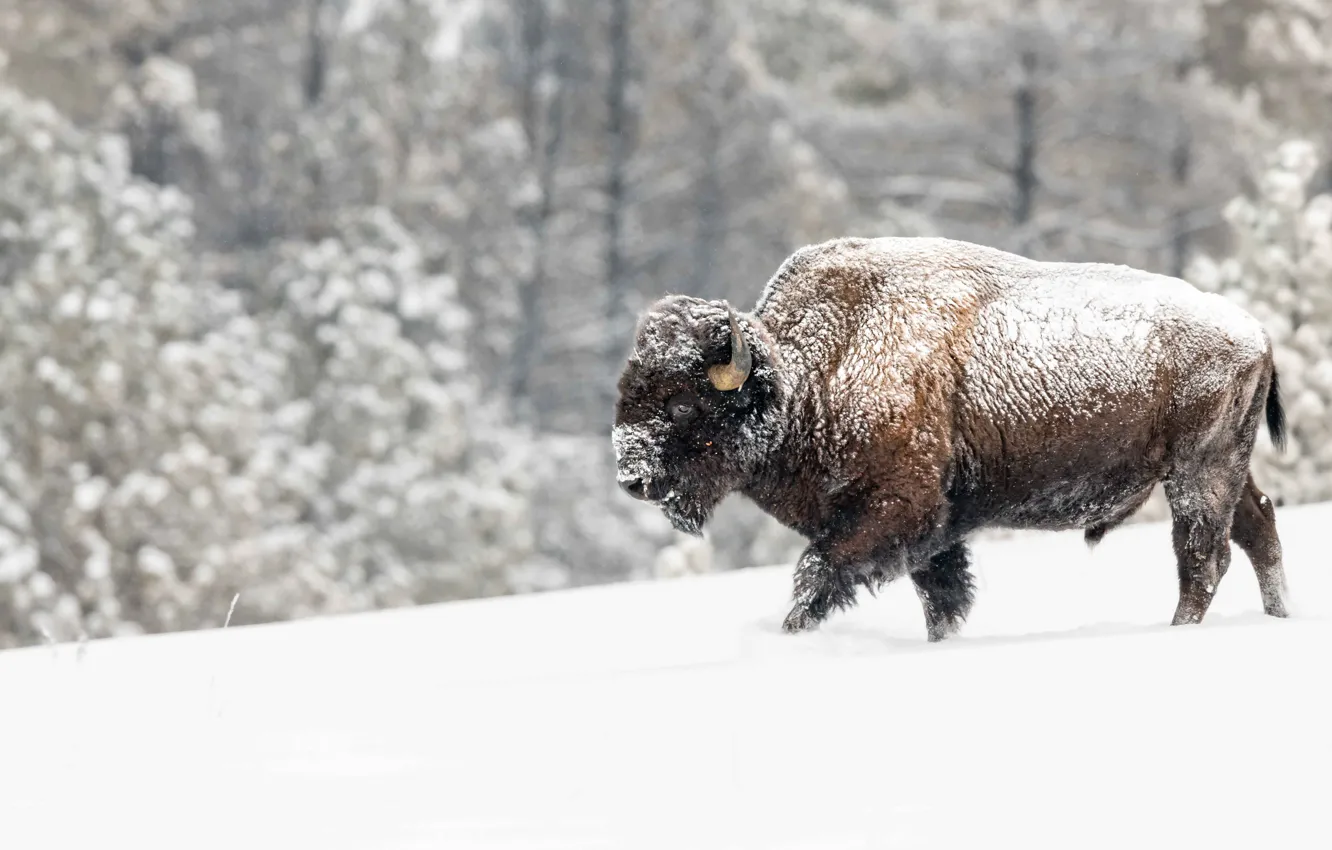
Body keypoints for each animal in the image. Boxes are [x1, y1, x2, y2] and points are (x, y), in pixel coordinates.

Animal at [611, 236, 1289, 641]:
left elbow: (818, 573)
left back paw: (1182, 630)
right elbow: (941, 598)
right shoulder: (933, 533)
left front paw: (793, 632)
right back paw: (1279, 616)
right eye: (628, 388)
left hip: (1197, 473)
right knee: (1256, 527)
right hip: (1223, 470)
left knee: (1202, 557)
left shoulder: (896, 509)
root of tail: (1255, 330)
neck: (809, 372)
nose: (631, 477)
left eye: (680, 402)